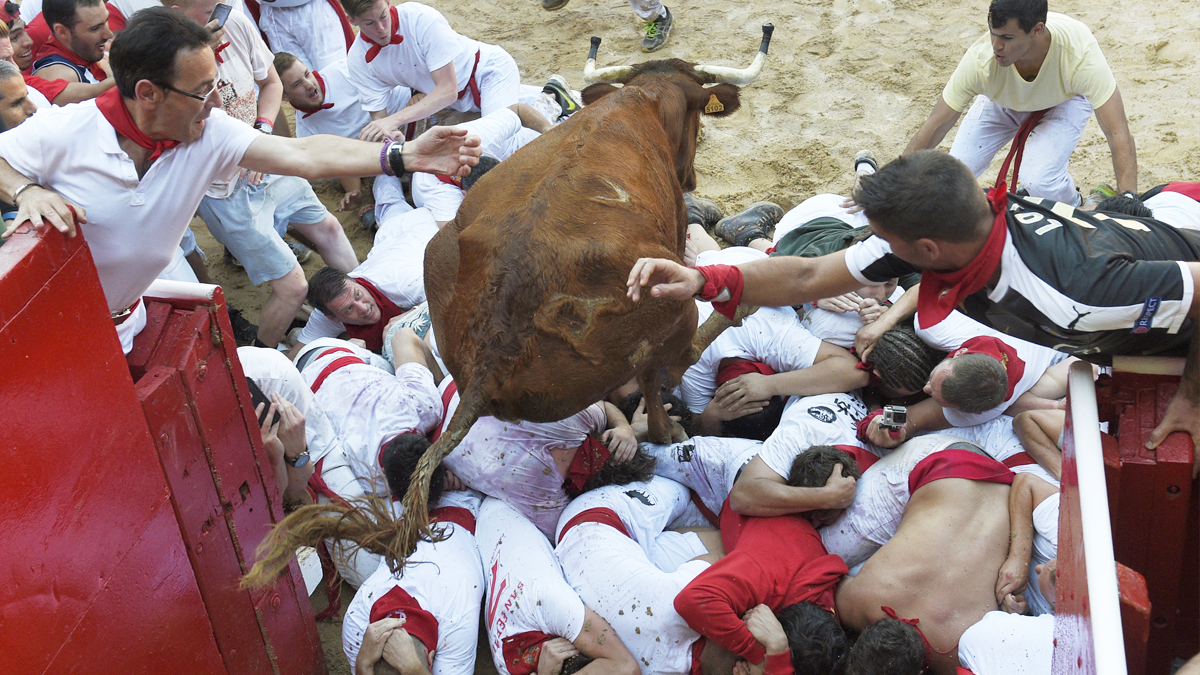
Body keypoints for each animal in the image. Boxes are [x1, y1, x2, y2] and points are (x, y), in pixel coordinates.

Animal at [400, 27, 777, 557]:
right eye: (698, 118)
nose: (692, 176)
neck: (643, 98)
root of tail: (494, 344)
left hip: (438, 253)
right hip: (671, 305)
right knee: (663, 374)